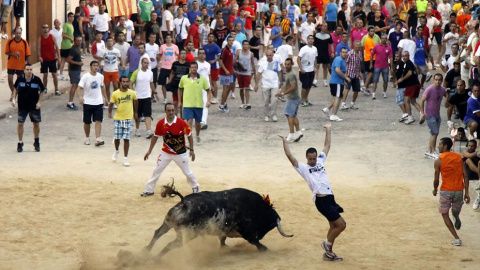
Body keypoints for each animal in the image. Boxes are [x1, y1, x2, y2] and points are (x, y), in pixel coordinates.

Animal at [144, 181, 294, 260]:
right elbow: (254, 241)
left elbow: (222, 239)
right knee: (170, 245)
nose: (261, 235)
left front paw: (223, 247)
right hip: (187, 235)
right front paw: (264, 248)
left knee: (157, 233)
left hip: (168, 223)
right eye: (271, 224)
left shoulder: (224, 230)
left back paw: (145, 251)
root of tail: (184, 203)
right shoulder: (246, 231)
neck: (257, 208)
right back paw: (156, 259)